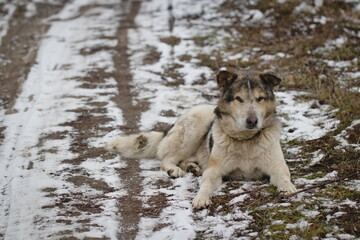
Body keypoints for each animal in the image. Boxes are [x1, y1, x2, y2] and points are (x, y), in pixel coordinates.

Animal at [105, 68, 296, 207]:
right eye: (238, 99)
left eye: (260, 98)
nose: (252, 121)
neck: (246, 140)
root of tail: (173, 124)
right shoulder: (214, 170)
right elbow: (206, 183)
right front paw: (201, 198)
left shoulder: (276, 166)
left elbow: (283, 175)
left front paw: (288, 188)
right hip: (196, 126)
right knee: (166, 158)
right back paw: (175, 170)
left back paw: (192, 167)